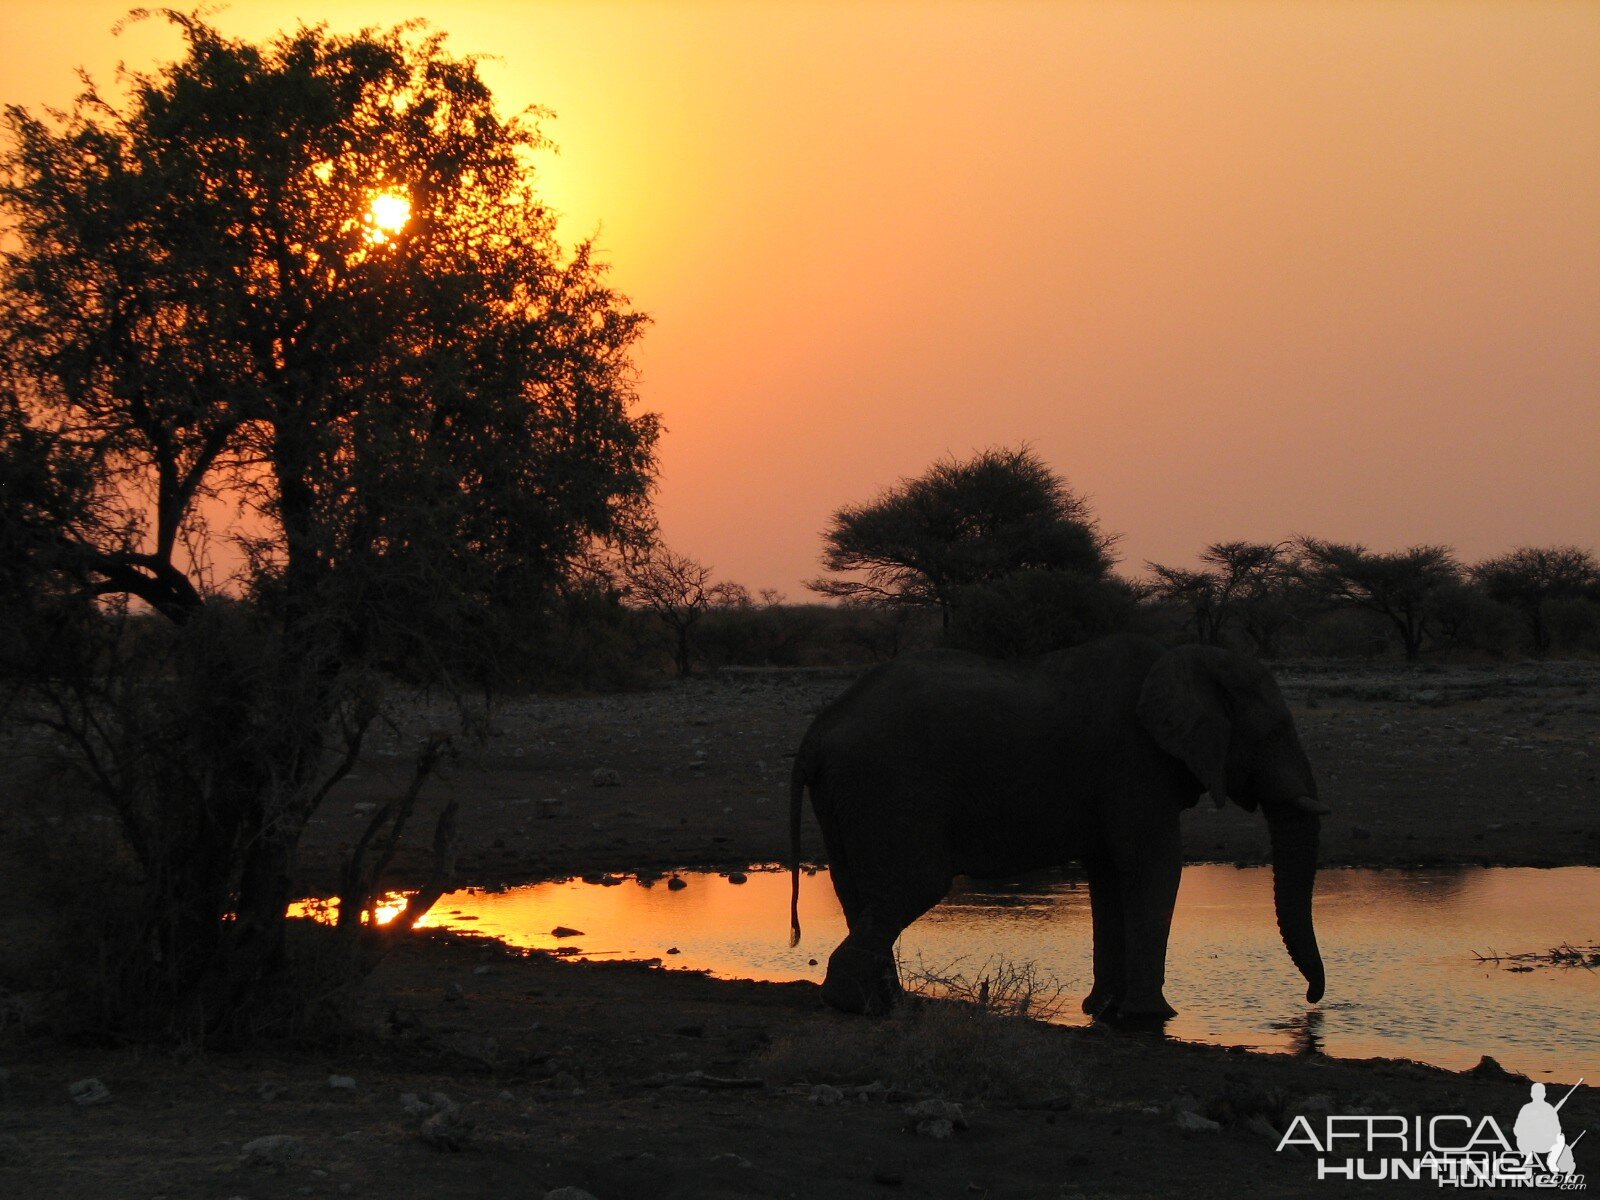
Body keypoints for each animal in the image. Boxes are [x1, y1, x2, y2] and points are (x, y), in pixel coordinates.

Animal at [787, 633, 1324, 1017]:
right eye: (1275, 731)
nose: (1312, 1001)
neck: (1181, 659)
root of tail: (818, 729)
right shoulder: (1135, 762)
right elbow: (1153, 866)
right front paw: (1151, 1018)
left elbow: (1108, 875)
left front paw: (1102, 1011)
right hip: (889, 783)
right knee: (914, 884)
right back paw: (858, 1005)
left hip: (848, 793)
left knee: (859, 890)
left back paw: (883, 1003)